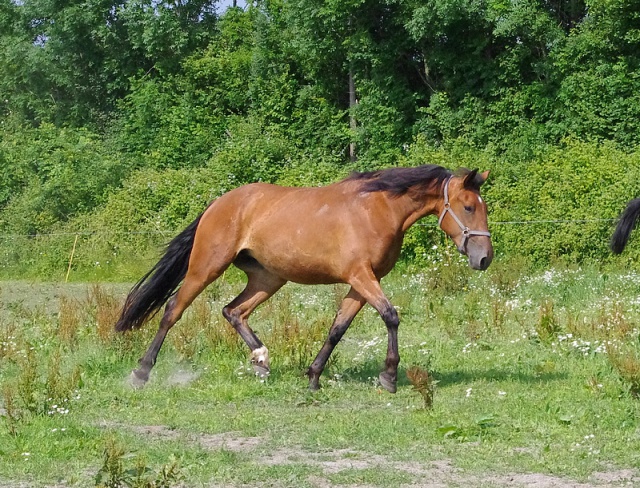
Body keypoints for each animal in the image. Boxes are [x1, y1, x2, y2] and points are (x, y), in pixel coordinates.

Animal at [116, 164, 496, 392]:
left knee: (233, 311)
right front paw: (388, 377)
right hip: (206, 268)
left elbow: (337, 328)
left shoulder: (360, 283)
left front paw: (313, 376)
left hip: (268, 278)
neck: (378, 210)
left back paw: (262, 361)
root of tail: (217, 204)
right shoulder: (361, 276)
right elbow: (390, 316)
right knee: (173, 311)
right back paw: (141, 372)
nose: (484, 258)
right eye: (468, 207)